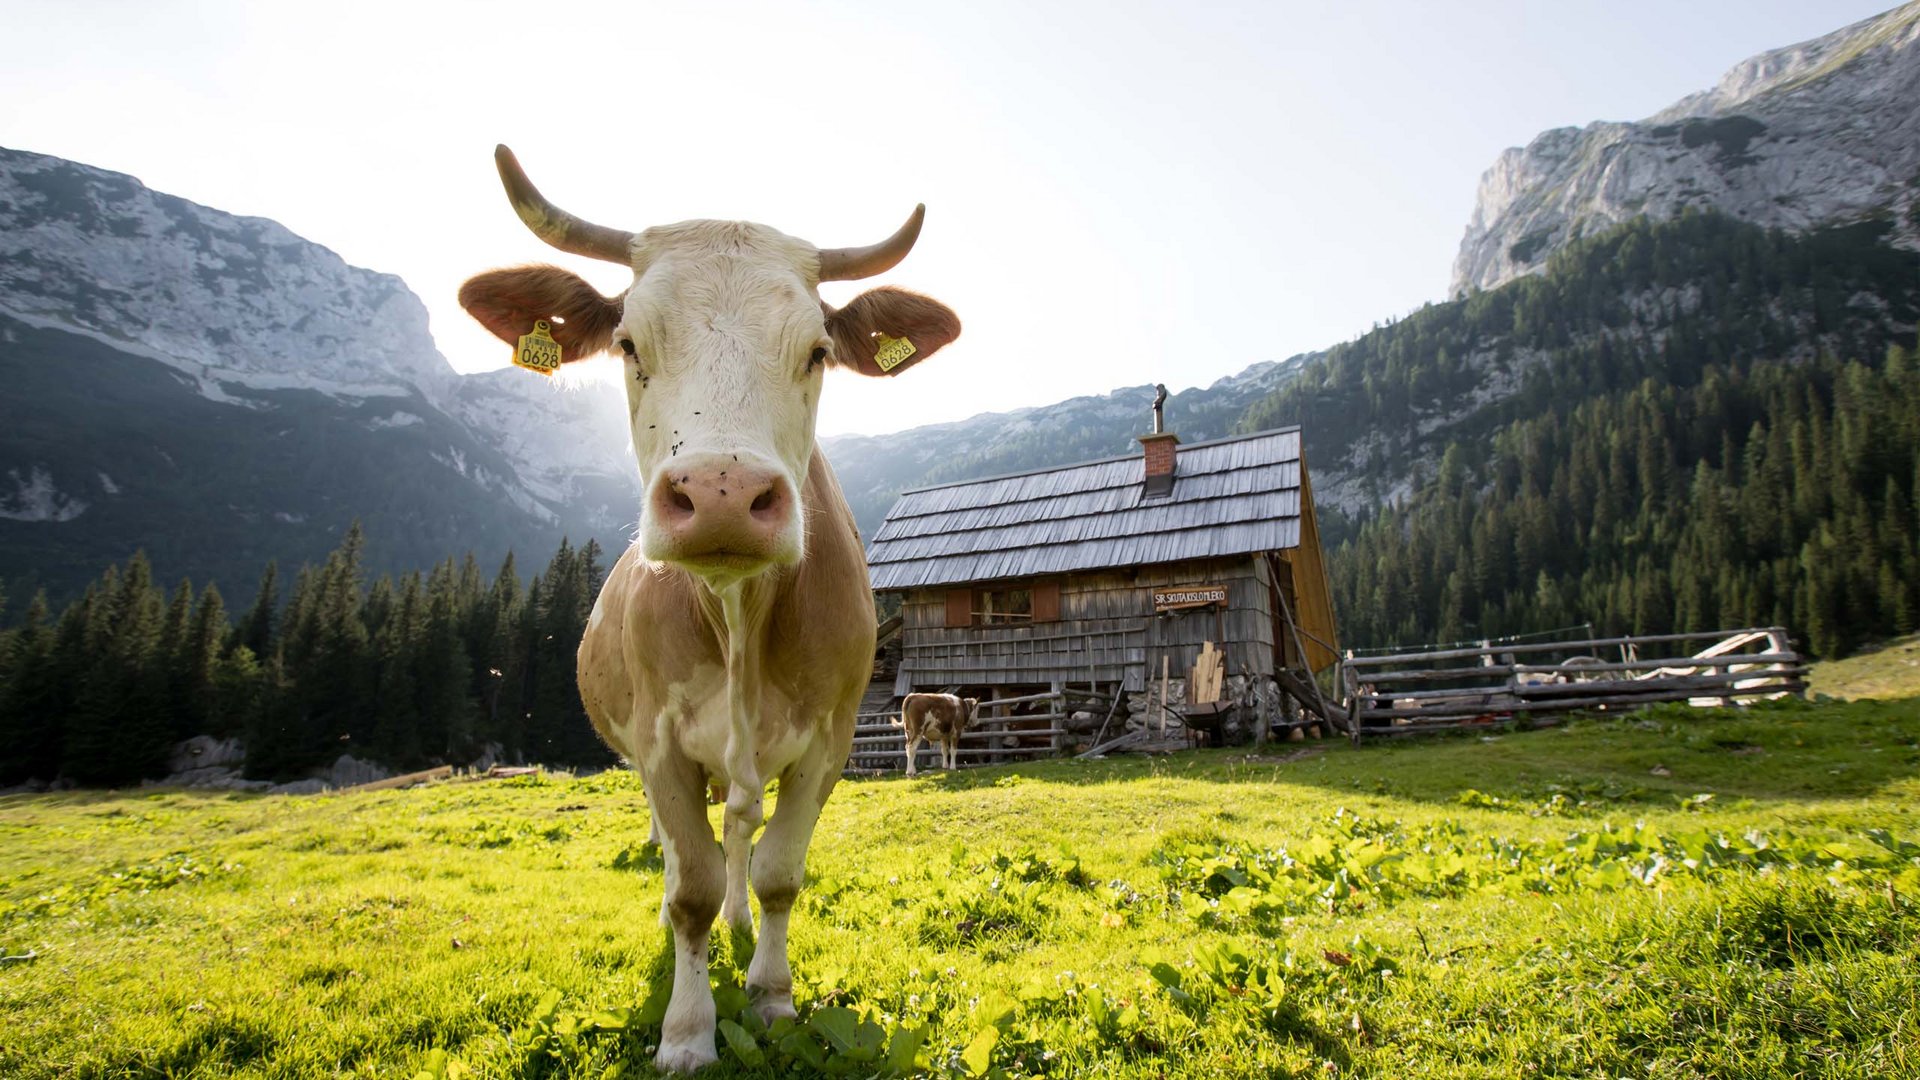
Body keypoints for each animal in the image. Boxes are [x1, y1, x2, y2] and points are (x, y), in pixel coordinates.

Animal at [451, 145, 960, 1068]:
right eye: (627, 341)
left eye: (818, 351)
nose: (722, 494)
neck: (737, 618)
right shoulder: (658, 741)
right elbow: (687, 884)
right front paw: (687, 1032)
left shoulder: (829, 740)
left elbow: (776, 872)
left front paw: (770, 994)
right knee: (683, 856)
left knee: (739, 837)